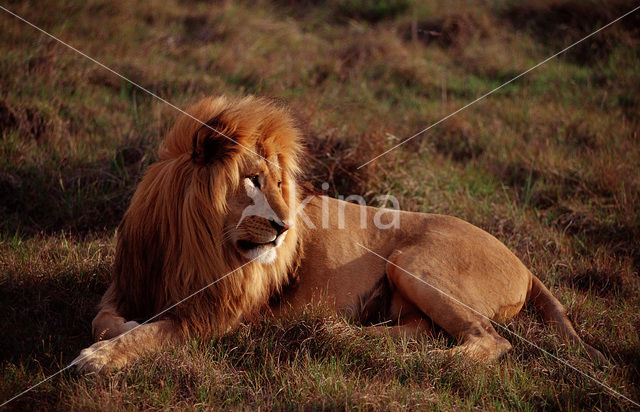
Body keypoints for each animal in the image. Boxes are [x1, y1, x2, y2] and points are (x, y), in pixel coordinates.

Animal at [75, 96, 604, 370]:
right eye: (252, 180)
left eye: (280, 184)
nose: (285, 228)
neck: (193, 242)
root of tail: (526, 265)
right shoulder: (126, 282)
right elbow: (103, 317)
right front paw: (118, 330)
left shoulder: (215, 318)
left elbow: (154, 333)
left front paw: (99, 358)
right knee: (421, 331)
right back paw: (347, 335)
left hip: (413, 263)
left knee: (489, 342)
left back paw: (427, 362)